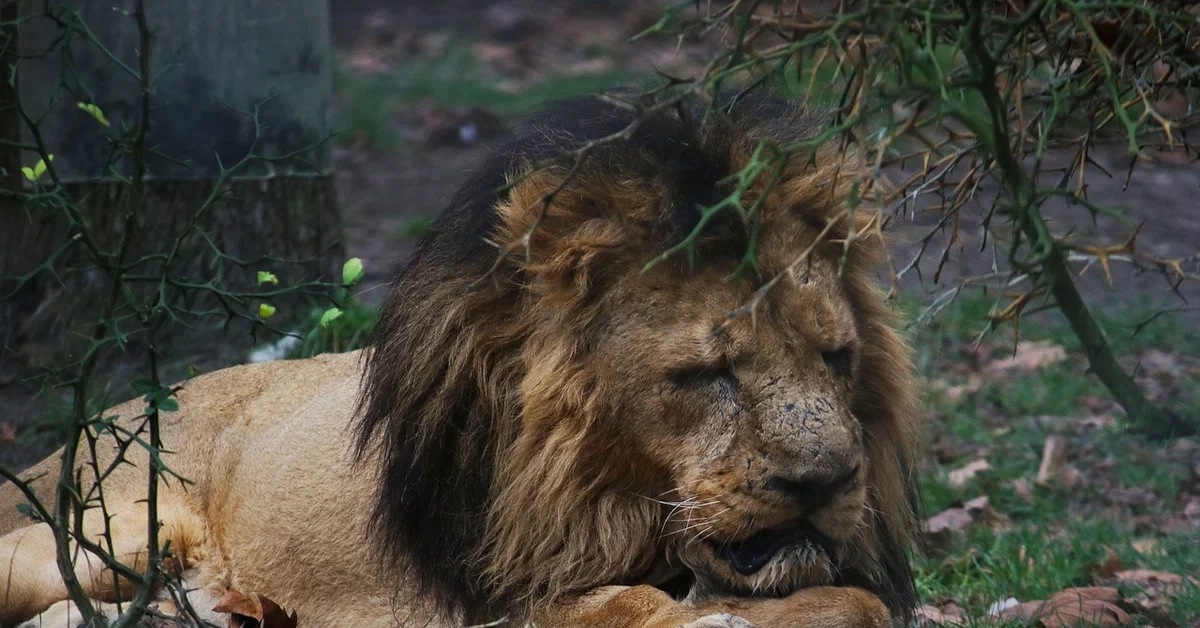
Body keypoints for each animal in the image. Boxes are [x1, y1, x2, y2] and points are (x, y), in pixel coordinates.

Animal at [0, 93, 921, 628]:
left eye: (837, 357)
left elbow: (856, 600)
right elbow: (637, 606)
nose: (826, 483)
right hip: (120, 528)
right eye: (706, 375)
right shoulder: (508, 606)